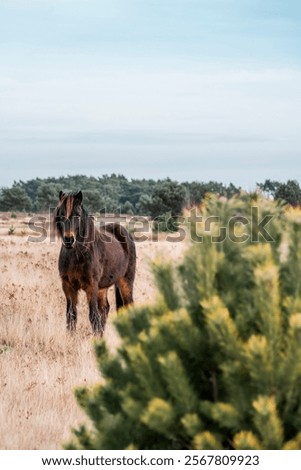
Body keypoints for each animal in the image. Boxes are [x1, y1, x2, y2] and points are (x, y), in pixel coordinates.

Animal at [54, 191, 136, 334]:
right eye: (61, 213)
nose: (69, 240)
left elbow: (93, 316)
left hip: (126, 282)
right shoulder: (68, 286)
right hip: (103, 287)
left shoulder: (91, 286)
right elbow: (71, 315)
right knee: (105, 309)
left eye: (77, 214)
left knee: (128, 306)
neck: (77, 255)